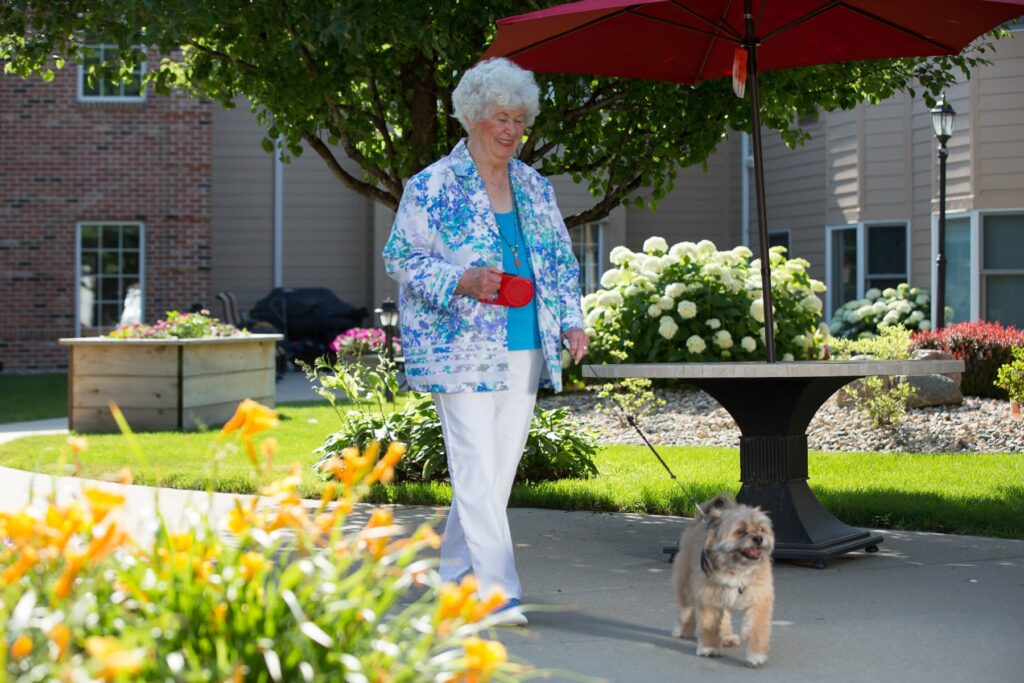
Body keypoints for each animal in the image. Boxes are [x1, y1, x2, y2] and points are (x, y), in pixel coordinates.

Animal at [667, 497, 770, 667]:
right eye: (740, 531)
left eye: (761, 529)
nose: (758, 538)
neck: (737, 569)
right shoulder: (708, 599)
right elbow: (709, 624)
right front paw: (709, 648)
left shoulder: (759, 600)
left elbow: (757, 628)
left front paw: (756, 655)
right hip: (685, 586)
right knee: (685, 611)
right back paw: (682, 630)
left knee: (725, 617)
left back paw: (727, 637)